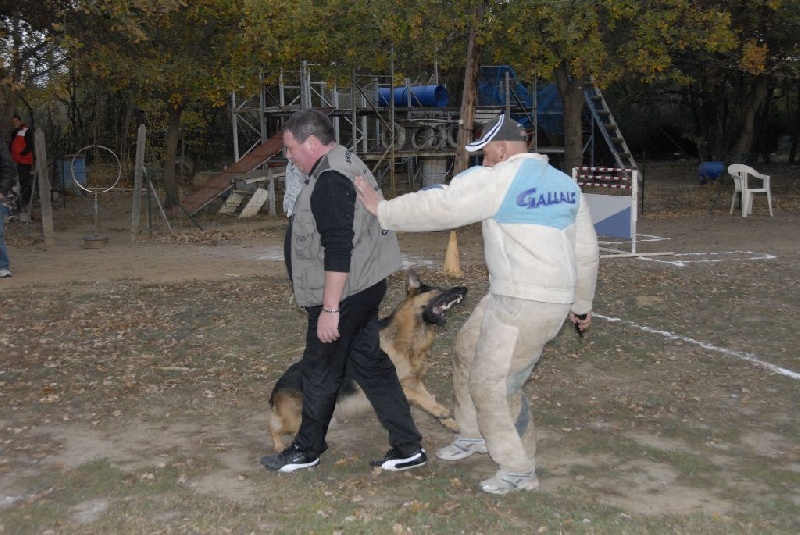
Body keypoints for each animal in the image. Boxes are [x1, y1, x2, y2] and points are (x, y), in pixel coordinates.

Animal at [268, 270, 468, 450]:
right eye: (438, 289)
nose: (464, 289)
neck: (408, 339)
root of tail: (277, 387)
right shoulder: (398, 385)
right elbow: (428, 401)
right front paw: (442, 412)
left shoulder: (415, 383)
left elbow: (429, 399)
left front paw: (448, 421)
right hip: (299, 419)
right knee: (275, 427)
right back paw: (280, 446)